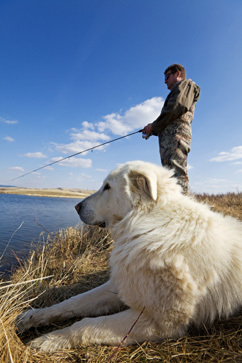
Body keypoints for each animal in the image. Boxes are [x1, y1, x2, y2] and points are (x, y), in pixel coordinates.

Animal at [18, 161, 242, 352]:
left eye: (107, 187)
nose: (76, 206)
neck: (147, 220)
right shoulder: (122, 285)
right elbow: (73, 301)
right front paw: (33, 316)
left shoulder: (158, 321)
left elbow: (86, 325)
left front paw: (49, 340)